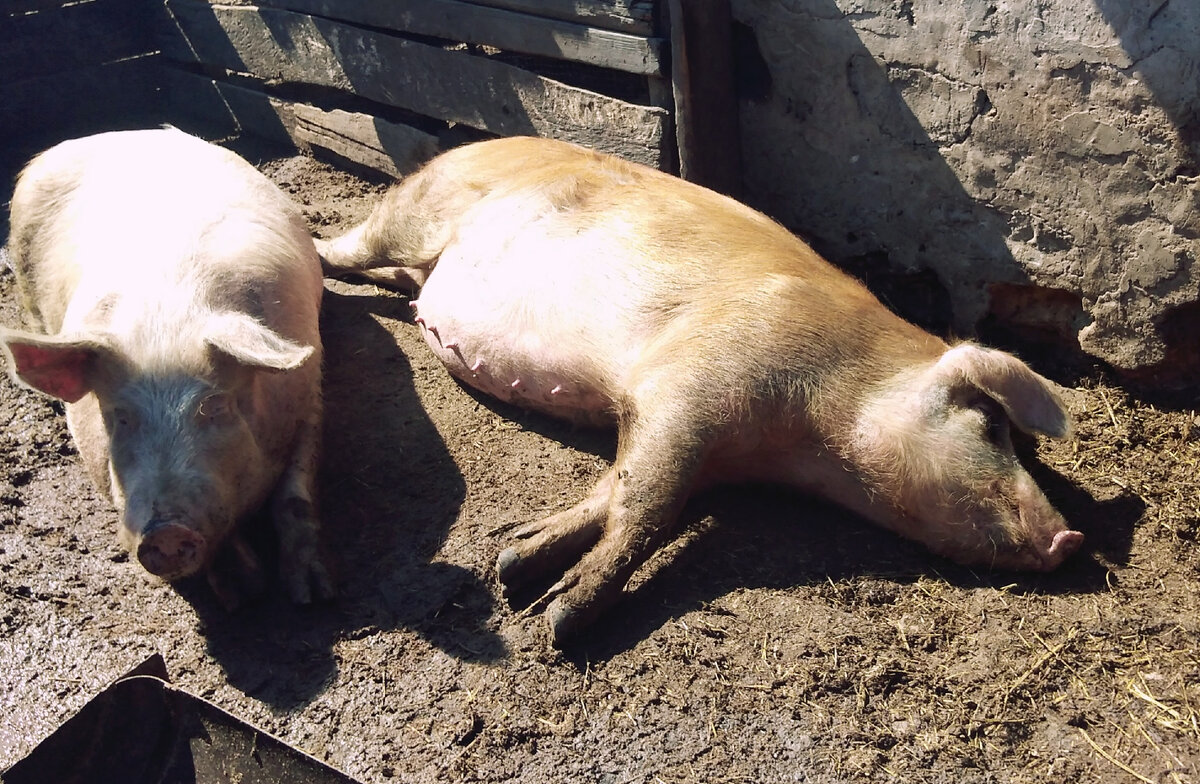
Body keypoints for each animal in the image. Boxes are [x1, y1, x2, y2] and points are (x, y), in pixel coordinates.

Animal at [4, 126, 336, 605]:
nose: (166, 532)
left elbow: (295, 495)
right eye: (119, 417)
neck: (166, 324)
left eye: (214, 407)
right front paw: (239, 591)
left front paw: (310, 595)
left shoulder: (309, 387)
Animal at [319, 136, 1089, 643]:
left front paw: (514, 558)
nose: (1070, 537)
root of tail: (461, 147)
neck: (801, 449)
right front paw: (556, 620)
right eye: (990, 425)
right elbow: (651, 505)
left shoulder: (689, 432)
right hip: (409, 218)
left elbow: (621, 486)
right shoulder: (690, 385)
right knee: (337, 249)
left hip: (414, 259)